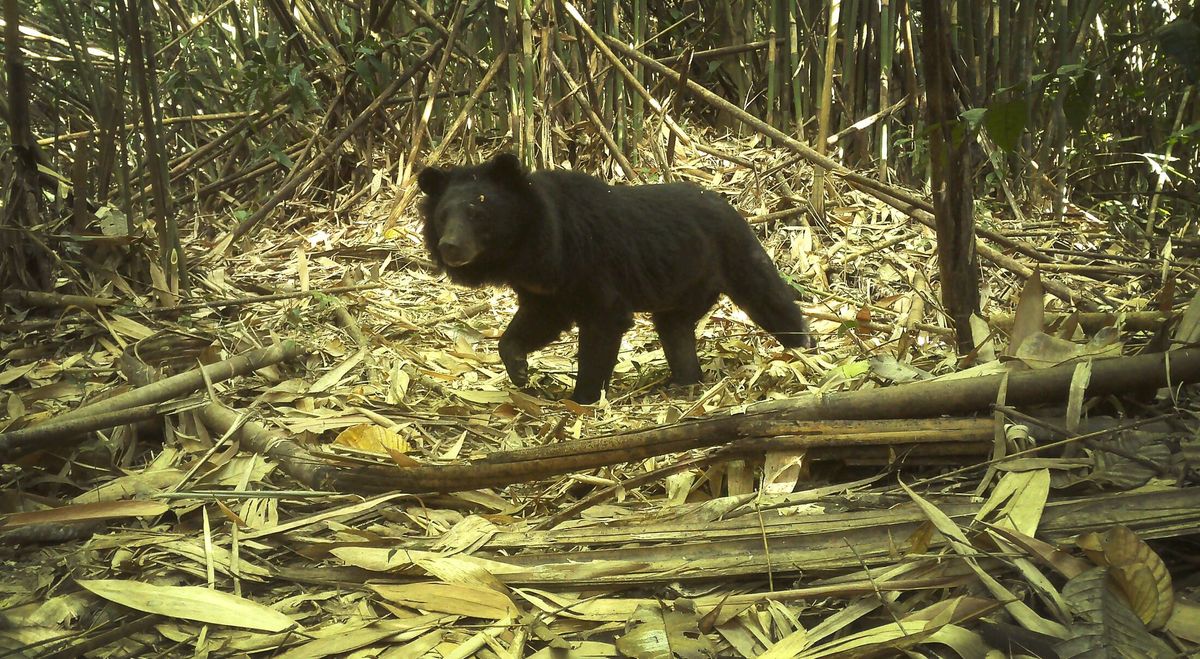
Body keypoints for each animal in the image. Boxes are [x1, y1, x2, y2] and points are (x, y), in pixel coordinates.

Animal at [417, 153, 812, 404]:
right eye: (442, 216)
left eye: (477, 211)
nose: (450, 247)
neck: (526, 249)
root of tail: (732, 205)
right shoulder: (546, 289)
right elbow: (537, 322)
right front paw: (519, 370)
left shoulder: (590, 267)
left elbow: (603, 324)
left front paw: (582, 398)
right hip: (684, 284)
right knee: (674, 327)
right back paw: (686, 379)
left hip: (733, 253)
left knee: (769, 298)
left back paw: (805, 351)